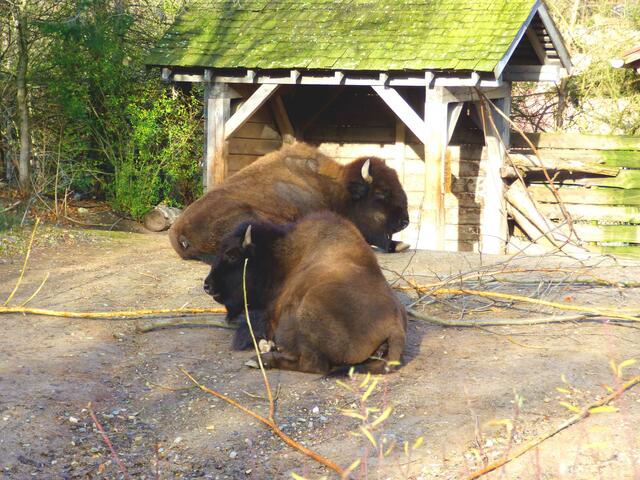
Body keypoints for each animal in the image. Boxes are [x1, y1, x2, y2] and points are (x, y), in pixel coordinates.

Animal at [204, 212, 407, 374]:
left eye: (232, 255)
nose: (207, 285)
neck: (279, 259)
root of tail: (395, 325)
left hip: (308, 310)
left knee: (314, 365)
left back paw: (260, 360)